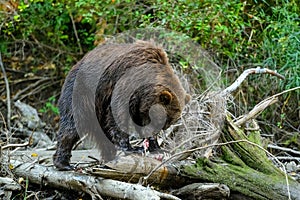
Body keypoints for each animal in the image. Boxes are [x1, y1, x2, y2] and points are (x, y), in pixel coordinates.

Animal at [52, 40, 190, 170]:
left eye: (168, 123)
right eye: (161, 119)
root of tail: (75, 65)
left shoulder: (140, 104)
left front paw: (157, 148)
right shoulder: (126, 84)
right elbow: (119, 114)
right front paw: (132, 148)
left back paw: (108, 157)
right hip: (82, 94)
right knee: (71, 125)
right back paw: (63, 163)